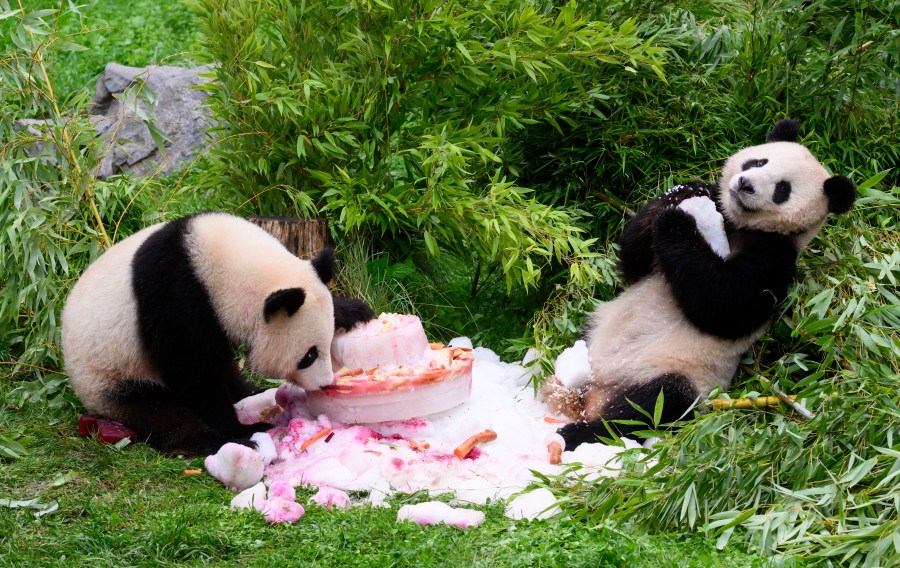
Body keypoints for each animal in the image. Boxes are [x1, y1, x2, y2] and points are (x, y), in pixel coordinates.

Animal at [62, 213, 372, 458]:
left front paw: (354, 311)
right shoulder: (174, 297)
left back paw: (251, 393)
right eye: (308, 355)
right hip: (111, 377)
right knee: (160, 412)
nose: (324, 383)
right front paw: (239, 429)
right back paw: (211, 442)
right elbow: (191, 372)